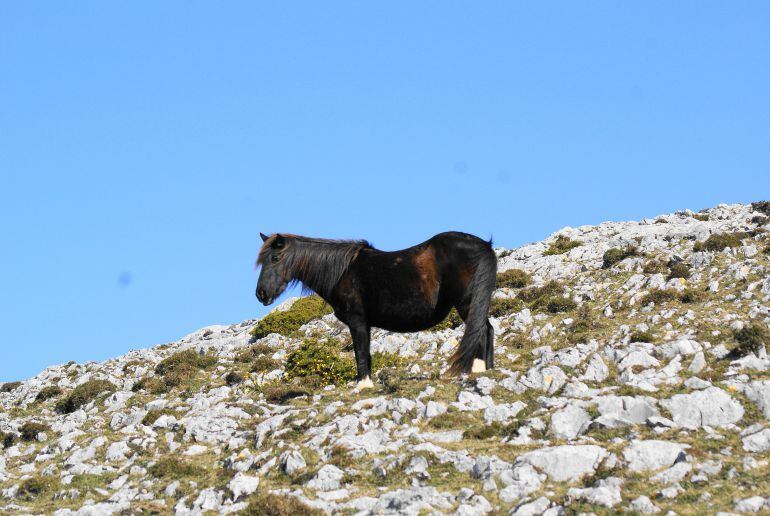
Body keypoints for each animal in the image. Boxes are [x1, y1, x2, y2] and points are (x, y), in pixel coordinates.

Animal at [256, 232, 498, 390]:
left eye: (275, 258)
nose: (261, 294)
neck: (342, 272)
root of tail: (484, 245)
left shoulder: (358, 322)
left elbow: (361, 353)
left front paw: (363, 385)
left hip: (467, 302)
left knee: (481, 330)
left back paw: (477, 368)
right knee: (488, 329)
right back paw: (487, 368)